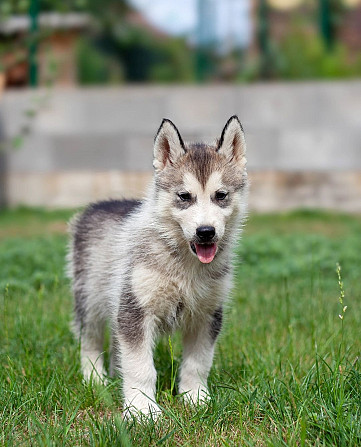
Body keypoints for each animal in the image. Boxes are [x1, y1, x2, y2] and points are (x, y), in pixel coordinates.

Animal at [67, 116, 248, 420]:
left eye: (221, 195)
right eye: (184, 196)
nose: (206, 232)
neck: (184, 262)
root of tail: (99, 205)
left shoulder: (208, 313)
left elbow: (198, 363)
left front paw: (195, 398)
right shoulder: (136, 309)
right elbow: (140, 366)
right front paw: (141, 410)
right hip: (90, 296)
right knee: (89, 339)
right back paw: (95, 379)